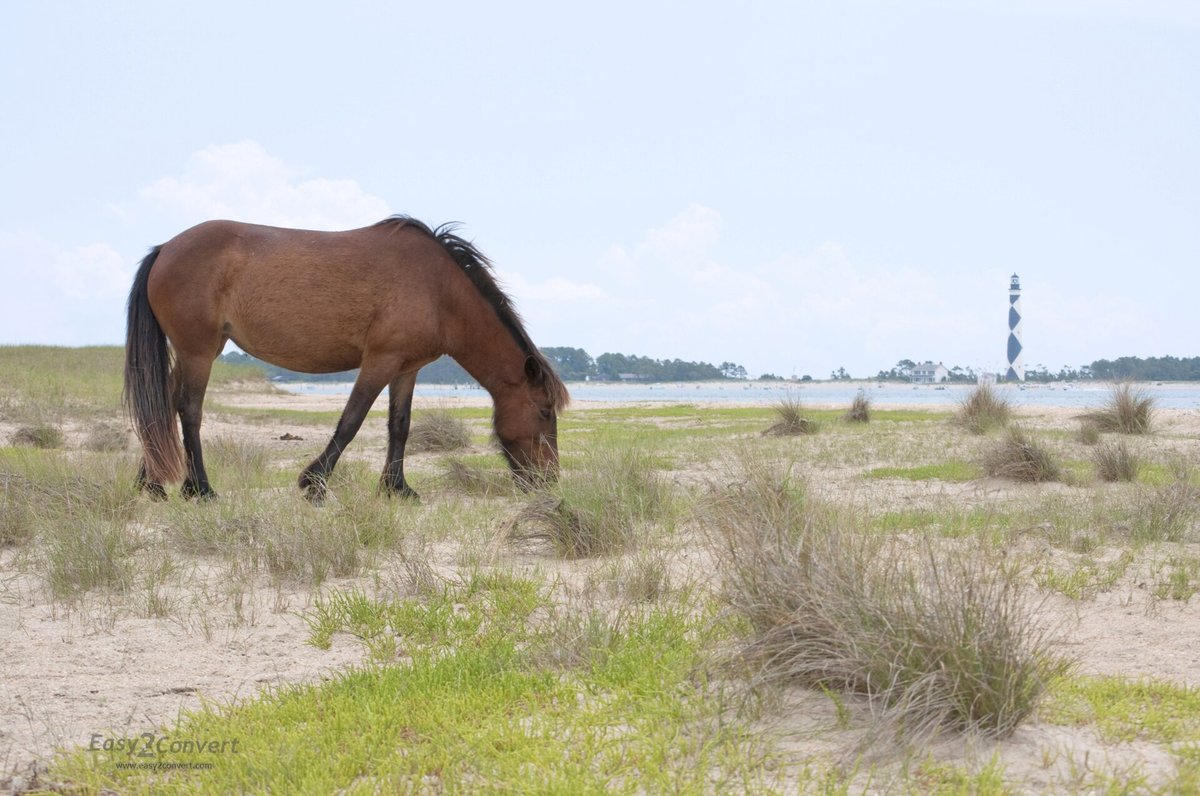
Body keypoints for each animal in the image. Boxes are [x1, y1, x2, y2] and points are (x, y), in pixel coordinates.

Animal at [123, 216, 569, 502]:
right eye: (545, 412)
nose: (550, 480)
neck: (439, 290)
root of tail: (165, 249)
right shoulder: (380, 360)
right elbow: (351, 420)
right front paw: (314, 484)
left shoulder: (407, 368)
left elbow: (399, 426)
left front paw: (397, 489)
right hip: (199, 352)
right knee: (188, 410)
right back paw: (199, 489)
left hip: (202, 351)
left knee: (163, 408)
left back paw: (153, 484)